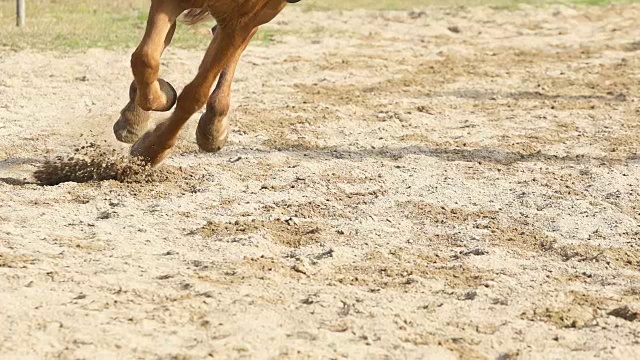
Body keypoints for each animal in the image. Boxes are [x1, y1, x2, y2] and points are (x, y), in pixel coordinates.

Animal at [112, 0, 300, 166]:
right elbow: (145, 58)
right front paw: (164, 96)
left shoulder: (241, 21)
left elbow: (194, 96)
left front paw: (150, 151)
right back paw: (132, 119)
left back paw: (213, 125)